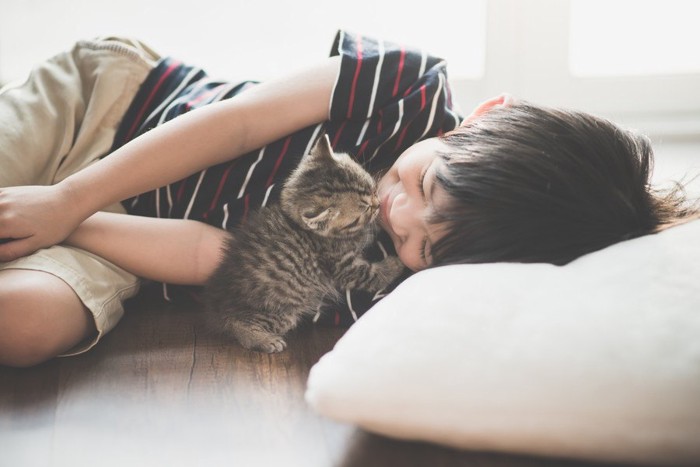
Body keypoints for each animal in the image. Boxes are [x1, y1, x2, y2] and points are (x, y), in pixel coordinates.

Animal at [204, 135, 404, 354]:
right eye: (363, 211)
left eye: (371, 188)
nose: (378, 204)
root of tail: (218, 302)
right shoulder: (343, 265)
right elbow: (371, 274)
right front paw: (395, 264)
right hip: (282, 311)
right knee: (237, 323)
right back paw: (262, 339)